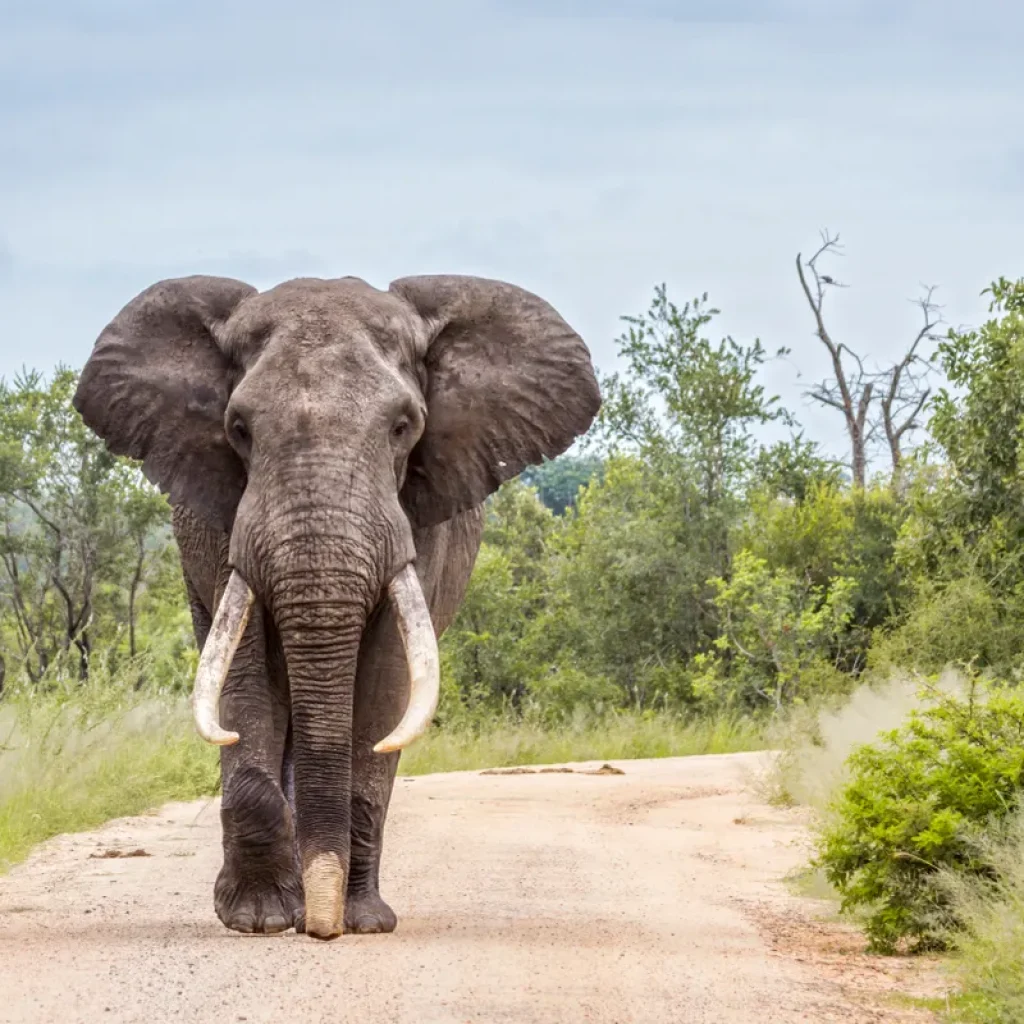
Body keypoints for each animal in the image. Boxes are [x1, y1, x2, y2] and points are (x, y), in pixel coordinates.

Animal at [73, 273, 600, 940]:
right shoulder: (225, 520)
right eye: (238, 428)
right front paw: (260, 919)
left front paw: (358, 921)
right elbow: (245, 675)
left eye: (403, 426)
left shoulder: (417, 520)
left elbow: (383, 684)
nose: (321, 929)